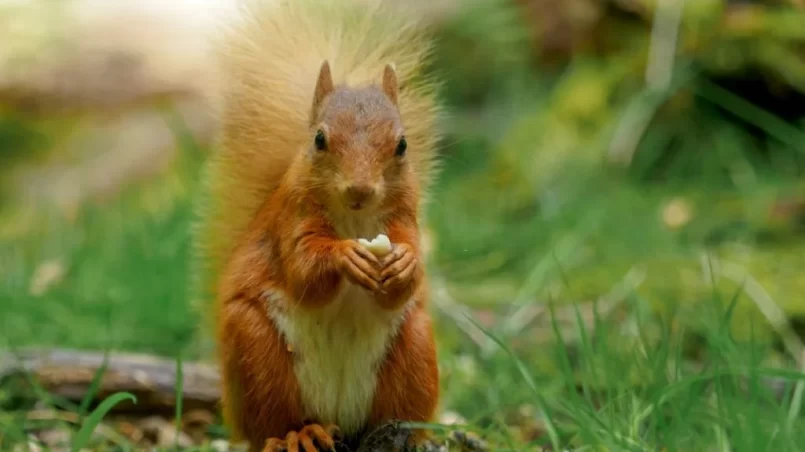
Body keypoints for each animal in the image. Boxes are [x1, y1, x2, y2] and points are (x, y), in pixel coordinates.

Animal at [194, 1, 442, 450]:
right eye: (320, 140)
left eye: (402, 145)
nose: (359, 189)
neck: (356, 218)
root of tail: (336, 416)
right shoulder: (291, 219)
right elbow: (304, 271)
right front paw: (345, 256)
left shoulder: (403, 219)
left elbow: (402, 284)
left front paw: (404, 264)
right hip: (256, 353)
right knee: (274, 421)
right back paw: (300, 434)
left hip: (413, 351)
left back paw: (409, 436)